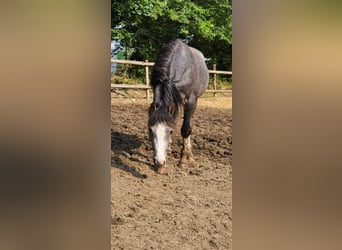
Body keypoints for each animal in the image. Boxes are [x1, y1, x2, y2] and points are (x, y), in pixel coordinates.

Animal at [147, 39, 208, 174]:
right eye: (150, 130)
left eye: (170, 131)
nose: (159, 162)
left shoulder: (190, 102)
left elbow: (185, 129)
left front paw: (183, 160)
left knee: (189, 125)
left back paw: (189, 155)